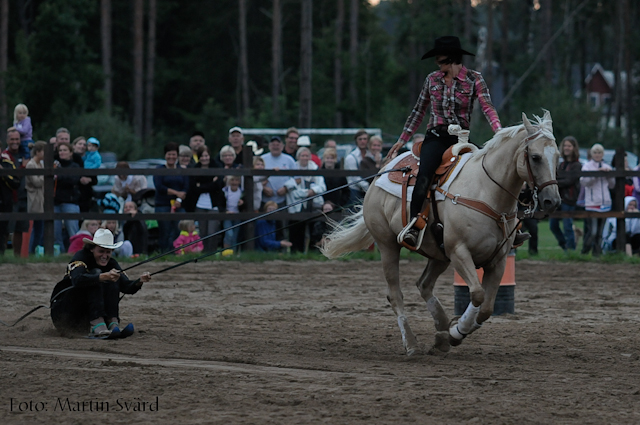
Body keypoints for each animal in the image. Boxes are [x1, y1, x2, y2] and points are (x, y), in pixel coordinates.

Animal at [324, 111, 560, 352]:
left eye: (558, 156)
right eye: (535, 157)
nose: (552, 201)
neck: (485, 191)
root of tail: (381, 174)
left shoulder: (499, 260)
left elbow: (486, 308)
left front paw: (455, 331)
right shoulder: (459, 252)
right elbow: (477, 295)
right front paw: (457, 331)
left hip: (438, 255)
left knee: (424, 285)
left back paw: (442, 329)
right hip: (388, 245)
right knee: (395, 294)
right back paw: (412, 342)